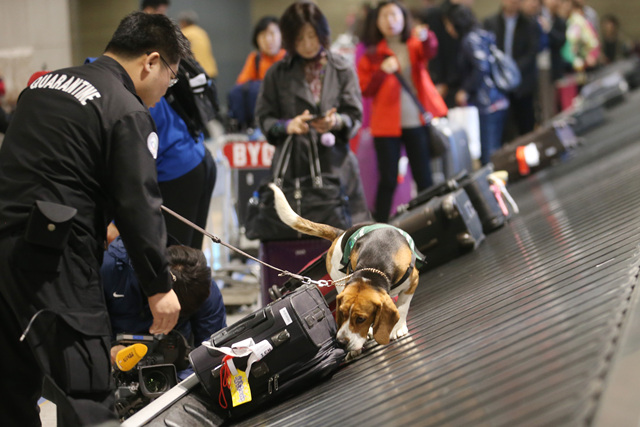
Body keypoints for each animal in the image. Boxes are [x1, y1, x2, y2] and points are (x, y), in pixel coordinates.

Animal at [270, 184, 424, 362]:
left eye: (361, 319)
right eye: (341, 314)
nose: (341, 342)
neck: (374, 267)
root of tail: (340, 233)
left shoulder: (413, 281)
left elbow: (403, 306)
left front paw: (398, 327)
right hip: (339, 281)